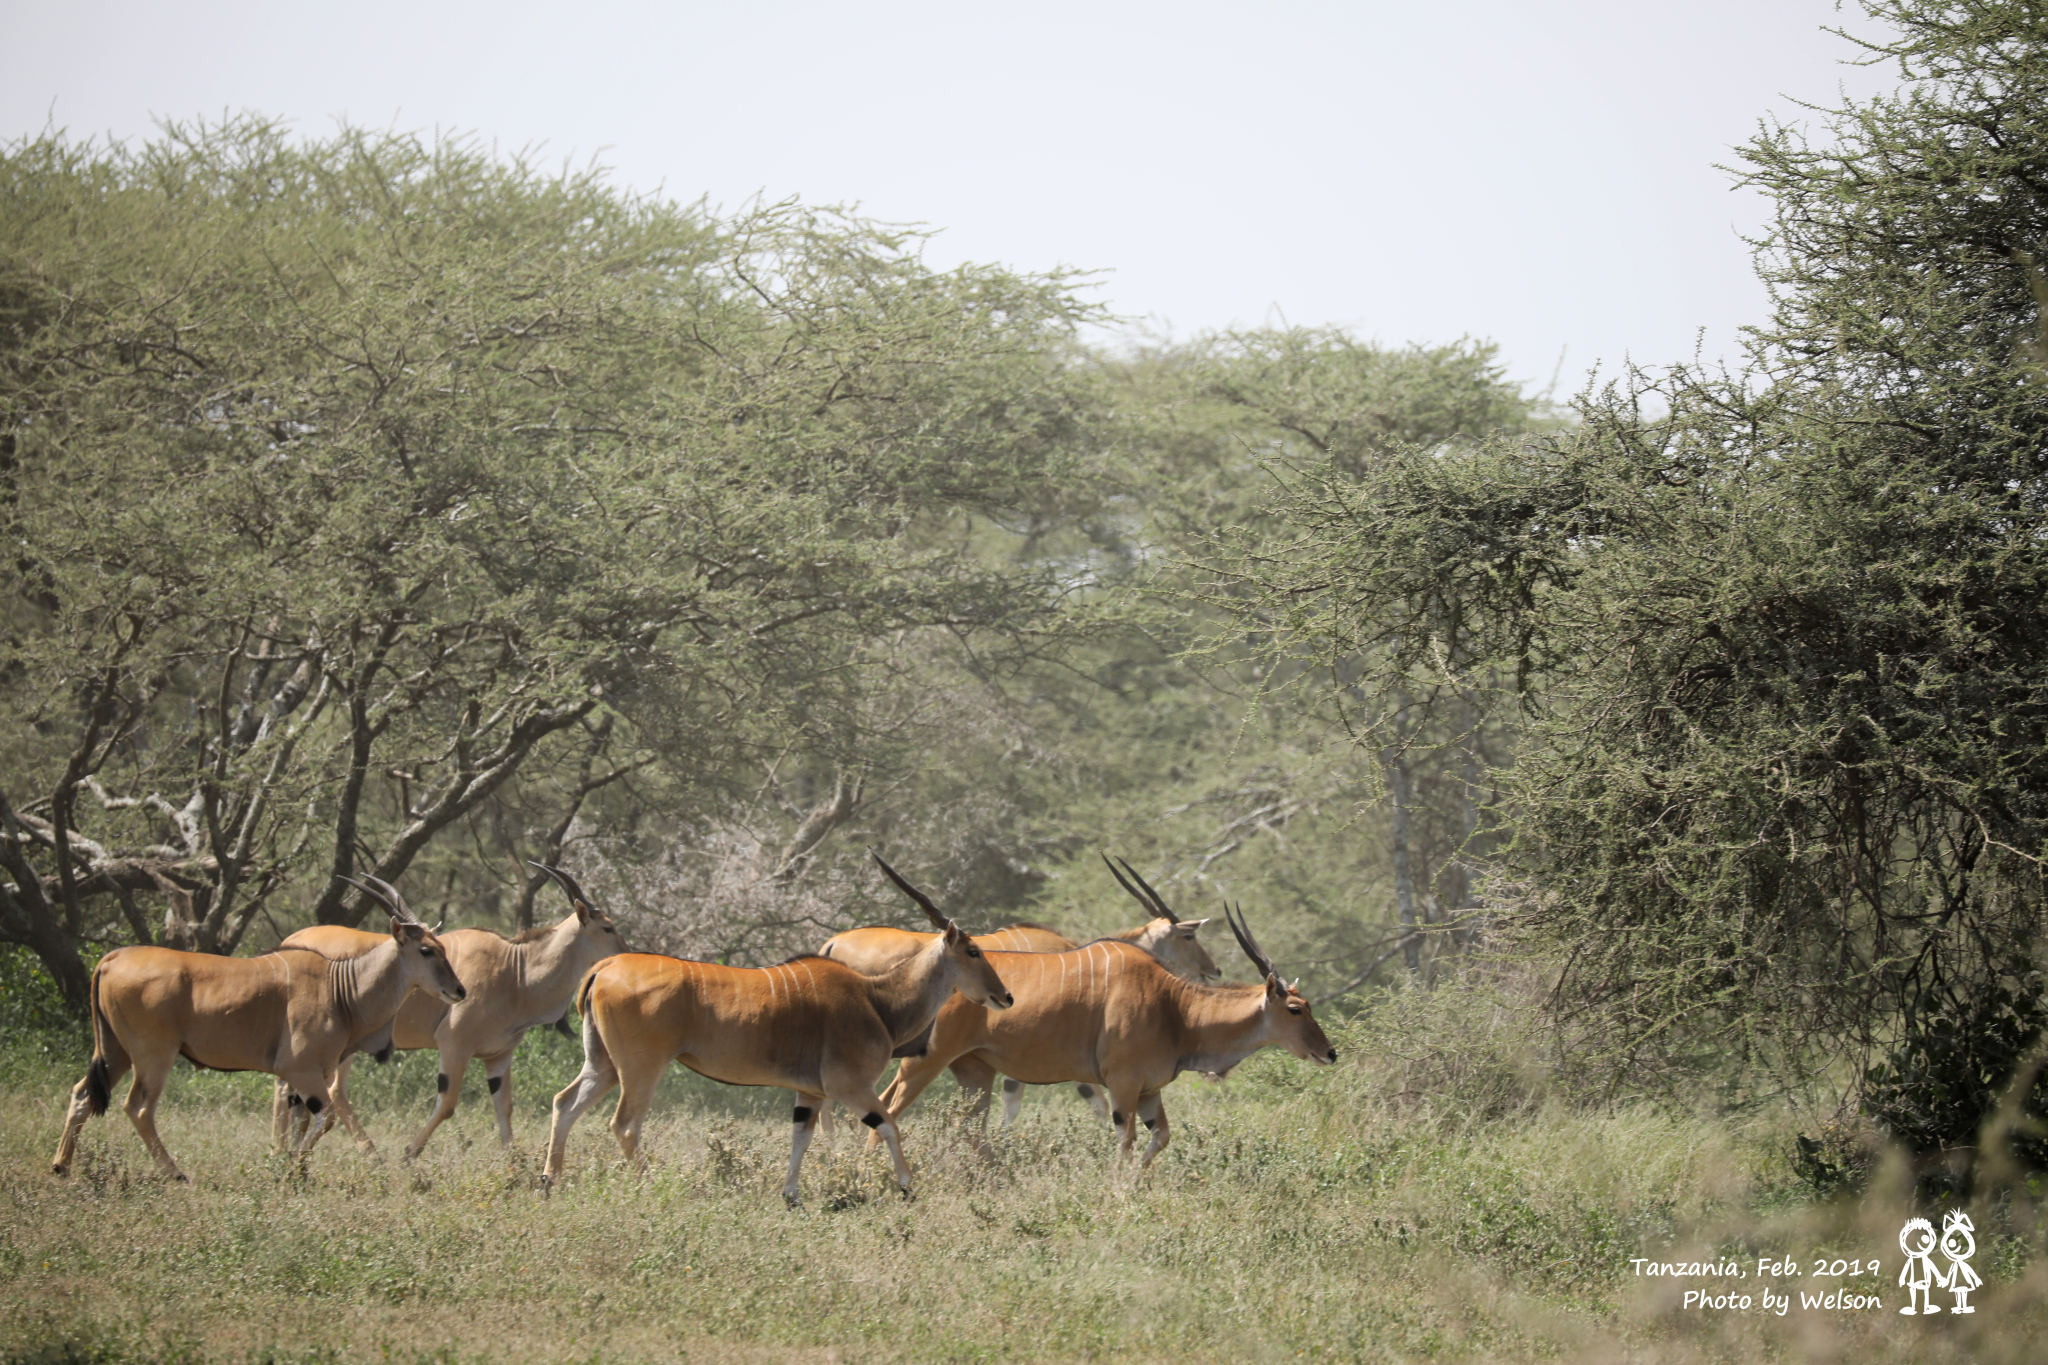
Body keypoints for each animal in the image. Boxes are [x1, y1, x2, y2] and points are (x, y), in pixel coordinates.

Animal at [47, 879, 464, 1178]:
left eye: (443, 947)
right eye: (426, 950)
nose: (459, 990)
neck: (341, 987)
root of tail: (111, 958)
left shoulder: (305, 1078)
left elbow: (301, 1121)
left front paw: (295, 1170)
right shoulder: (298, 1070)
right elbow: (324, 1118)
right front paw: (291, 1170)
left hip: (114, 1052)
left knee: (82, 1094)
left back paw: (61, 1166)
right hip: (153, 1057)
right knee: (138, 1108)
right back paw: (175, 1174)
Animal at [274, 859, 622, 1162]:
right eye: (608, 928)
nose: (626, 951)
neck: (516, 970)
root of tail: (288, 942)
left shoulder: (498, 1056)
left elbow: (504, 1106)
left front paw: (515, 1163)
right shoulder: (454, 1044)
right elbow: (448, 1104)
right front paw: (409, 1155)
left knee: (297, 1091)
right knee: (323, 1092)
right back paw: (361, 1154)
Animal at [544, 855, 1015, 1203]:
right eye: (973, 951)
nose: (1006, 996)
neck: (877, 999)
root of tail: (604, 967)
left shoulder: (810, 1093)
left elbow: (800, 1137)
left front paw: (791, 1197)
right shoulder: (848, 1086)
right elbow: (889, 1126)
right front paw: (907, 1188)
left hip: (603, 1064)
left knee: (565, 1103)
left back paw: (549, 1181)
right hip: (642, 1067)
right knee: (625, 1124)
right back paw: (651, 1187)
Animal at [876, 900, 1327, 1170]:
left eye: (1308, 1006)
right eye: (1295, 1009)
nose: (1330, 1053)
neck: (1173, 1005)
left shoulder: (1148, 1090)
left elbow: (1159, 1138)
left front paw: (1135, 1184)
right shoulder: (1123, 1086)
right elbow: (1125, 1139)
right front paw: (1118, 1192)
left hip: (974, 1072)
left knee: (969, 1129)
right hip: (925, 1062)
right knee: (888, 1108)